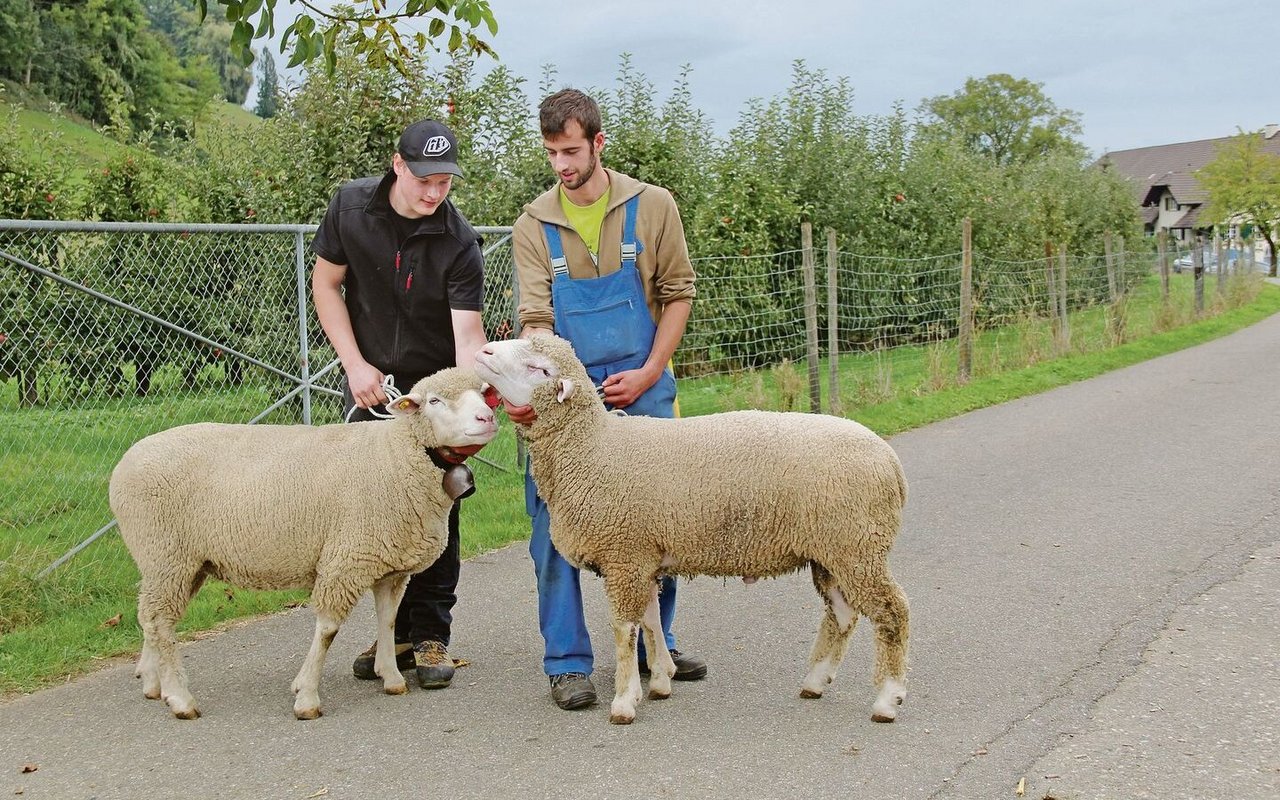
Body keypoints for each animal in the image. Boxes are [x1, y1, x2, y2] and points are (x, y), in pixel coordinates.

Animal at [107, 366, 496, 716]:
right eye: (434, 401)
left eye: (483, 393)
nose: (488, 416)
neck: (399, 454)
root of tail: (125, 461)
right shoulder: (345, 560)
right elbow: (327, 631)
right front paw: (307, 696)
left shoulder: (390, 566)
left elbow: (387, 619)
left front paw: (392, 677)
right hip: (166, 552)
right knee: (159, 620)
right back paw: (180, 698)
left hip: (180, 561)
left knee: (152, 618)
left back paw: (154, 683)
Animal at [478, 335, 911, 721]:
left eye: (539, 368)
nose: (484, 351)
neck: (591, 446)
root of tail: (890, 461)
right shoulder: (642, 556)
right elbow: (650, 620)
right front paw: (658, 681)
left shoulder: (624, 555)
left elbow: (624, 629)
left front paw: (624, 701)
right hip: (833, 550)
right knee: (843, 613)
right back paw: (816, 682)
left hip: (857, 545)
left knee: (892, 612)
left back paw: (888, 699)